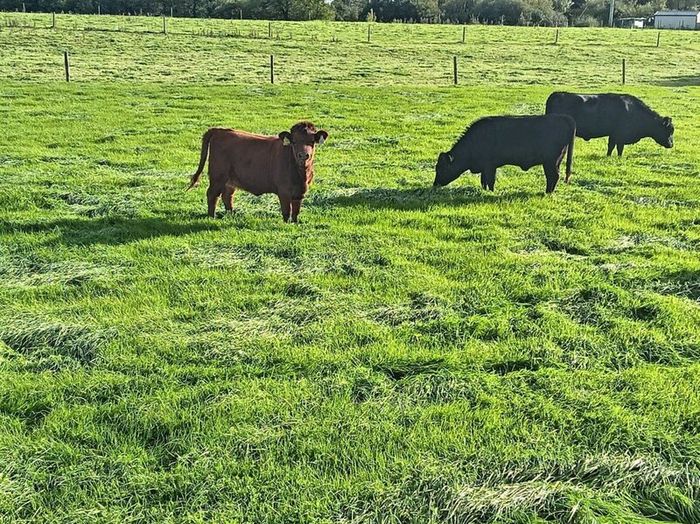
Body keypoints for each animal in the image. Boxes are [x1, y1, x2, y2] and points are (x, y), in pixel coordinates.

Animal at [187, 122, 328, 222]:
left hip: (230, 180)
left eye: (312, 141)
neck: (300, 174)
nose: (303, 155)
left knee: (227, 196)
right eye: (294, 141)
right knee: (212, 194)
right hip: (217, 177)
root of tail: (219, 130)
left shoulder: (300, 192)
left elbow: (295, 211)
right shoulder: (283, 191)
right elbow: (286, 211)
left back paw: (231, 215)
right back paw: (212, 217)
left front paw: (294, 223)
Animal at [434, 114, 576, 193]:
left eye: (441, 168)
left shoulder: (490, 166)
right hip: (556, 162)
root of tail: (564, 118)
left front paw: (491, 192)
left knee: (553, 176)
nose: (435, 184)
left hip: (550, 162)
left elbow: (490, 181)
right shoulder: (485, 168)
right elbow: (483, 181)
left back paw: (547, 193)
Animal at [545, 92, 674, 157]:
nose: (671, 144)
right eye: (669, 130)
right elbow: (618, 148)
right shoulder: (620, 135)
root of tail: (556, 94)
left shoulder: (613, 135)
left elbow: (612, 147)